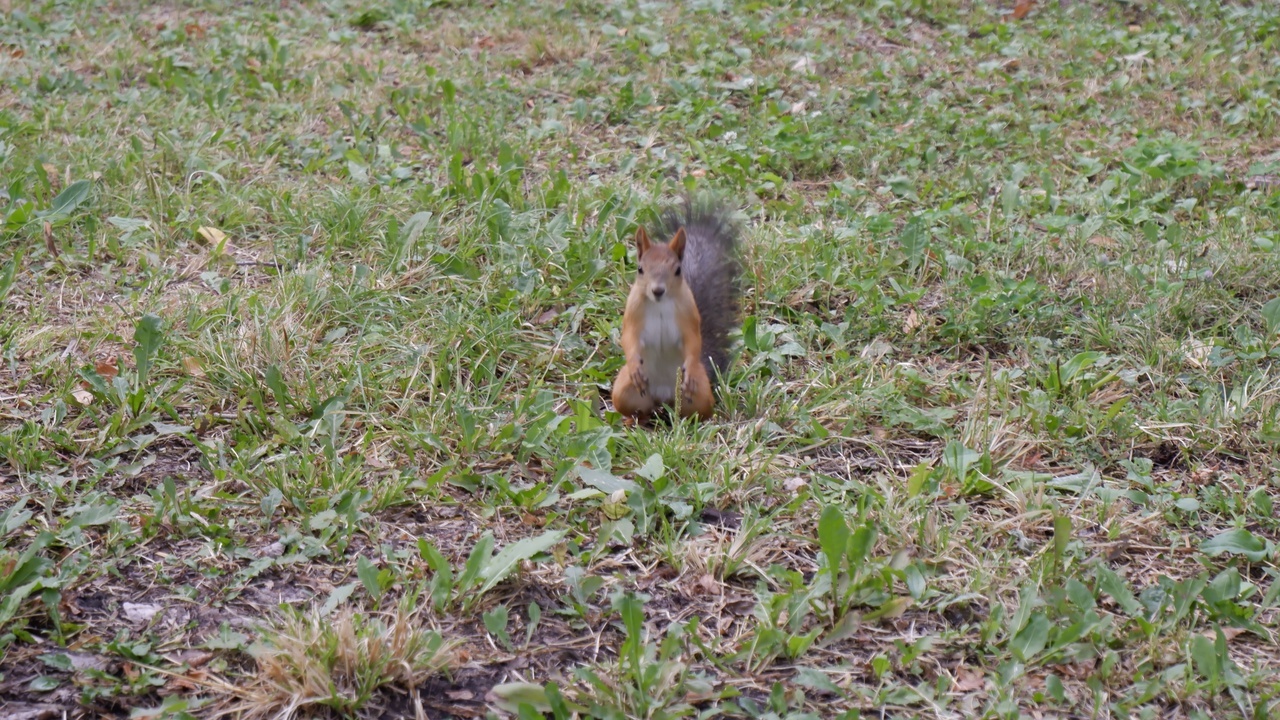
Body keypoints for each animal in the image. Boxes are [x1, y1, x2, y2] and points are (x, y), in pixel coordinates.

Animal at [614, 196, 747, 420]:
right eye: (640, 269)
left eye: (677, 270)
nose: (658, 290)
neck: (659, 305)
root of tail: (663, 398)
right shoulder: (633, 313)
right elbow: (629, 338)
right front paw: (633, 365)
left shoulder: (688, 314)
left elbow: (693, 340)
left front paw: (690, 369)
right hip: (623, 391)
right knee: (638, 409)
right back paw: (633, 420)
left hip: (701, 394)